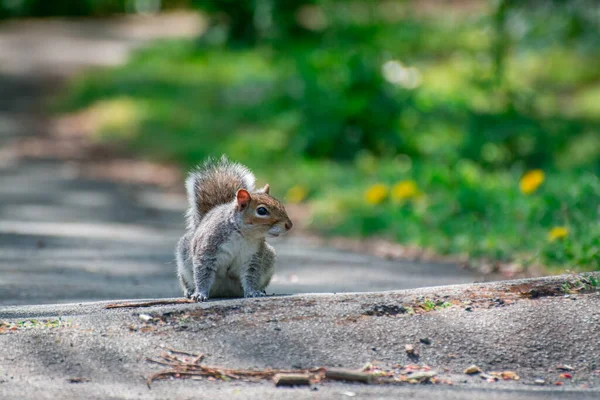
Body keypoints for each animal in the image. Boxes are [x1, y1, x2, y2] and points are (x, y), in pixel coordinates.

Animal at [175, 155, 294, 302]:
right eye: (261, 210)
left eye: (281, 204)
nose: (289, 225)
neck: (243, 235)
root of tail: (224, 291)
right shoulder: (208, 249)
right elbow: (203, 272)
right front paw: (200, 294)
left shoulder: (252, 256)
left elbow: (251, 275)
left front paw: (253, 292)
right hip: (184, 263)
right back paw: (190, 290)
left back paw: (261, 290)